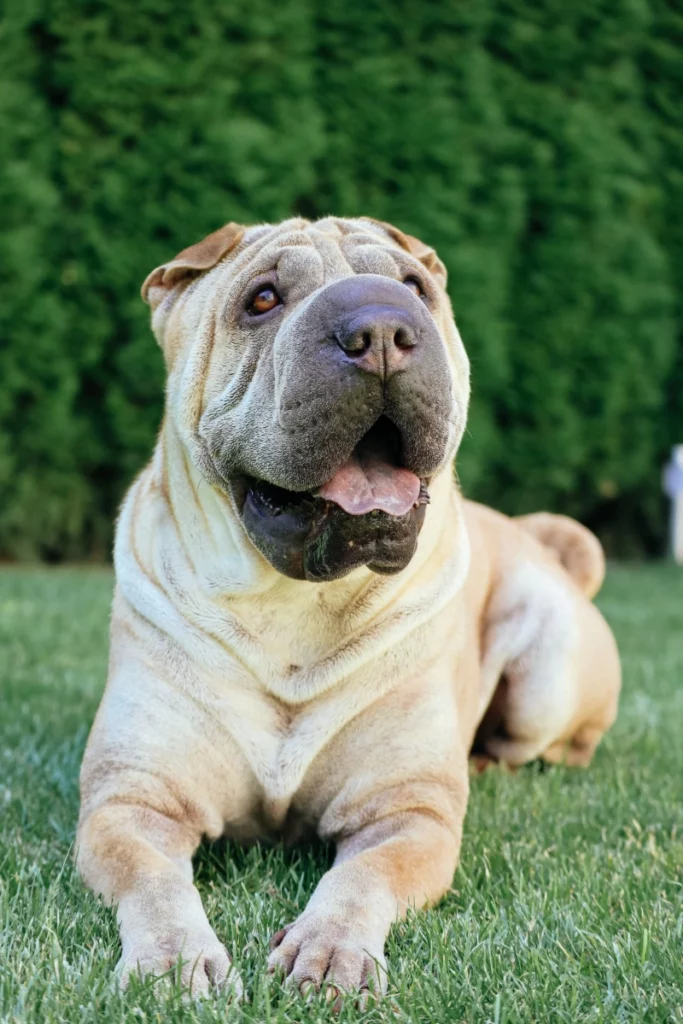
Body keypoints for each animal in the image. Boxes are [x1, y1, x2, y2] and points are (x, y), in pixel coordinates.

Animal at [74, 211, 618, 1003]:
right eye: (262, 299)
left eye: (415, 286)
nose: (383, 329)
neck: (293, 604)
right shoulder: (131, 800)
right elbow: (150, 878)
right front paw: (173, 958)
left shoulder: (406, 811)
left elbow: (364, 874)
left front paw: (330, 949)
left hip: (546, 670)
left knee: (556, 747)